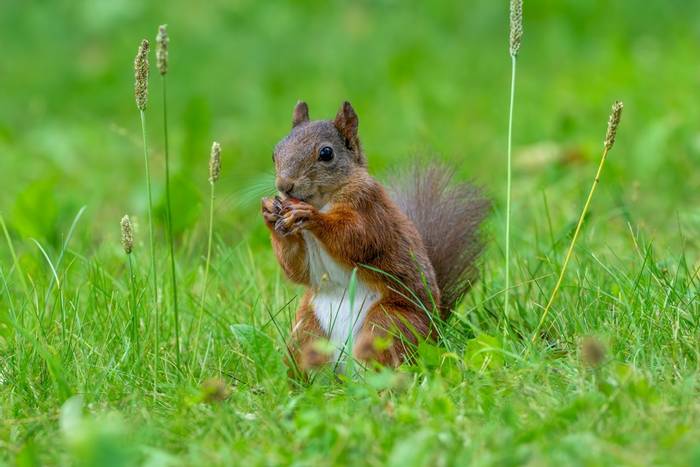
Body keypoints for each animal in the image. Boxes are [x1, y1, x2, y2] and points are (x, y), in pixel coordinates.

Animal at [262, 101, 486, 370]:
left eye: (326, 153)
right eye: (274, 152)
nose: (284, 186)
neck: (324, 200)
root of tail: (435, 331)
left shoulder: (371, 210)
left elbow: (356, 238)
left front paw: (312, 216)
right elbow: (297, 268)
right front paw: (270, 214)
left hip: (388, 325)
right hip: (307, 331)